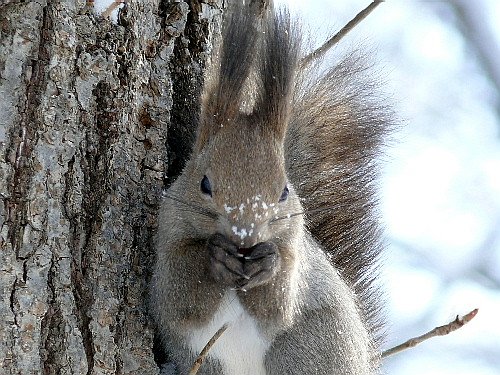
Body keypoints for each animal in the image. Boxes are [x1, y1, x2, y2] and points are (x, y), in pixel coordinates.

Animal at [150, 3, 392, 375]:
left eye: (284, 191)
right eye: (204, 184)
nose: (244, 235)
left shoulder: (294, 246)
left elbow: (277, 307)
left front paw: (268, 264)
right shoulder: (167, 239)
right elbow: (182, 295)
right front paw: (215, 256)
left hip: (310, 348)